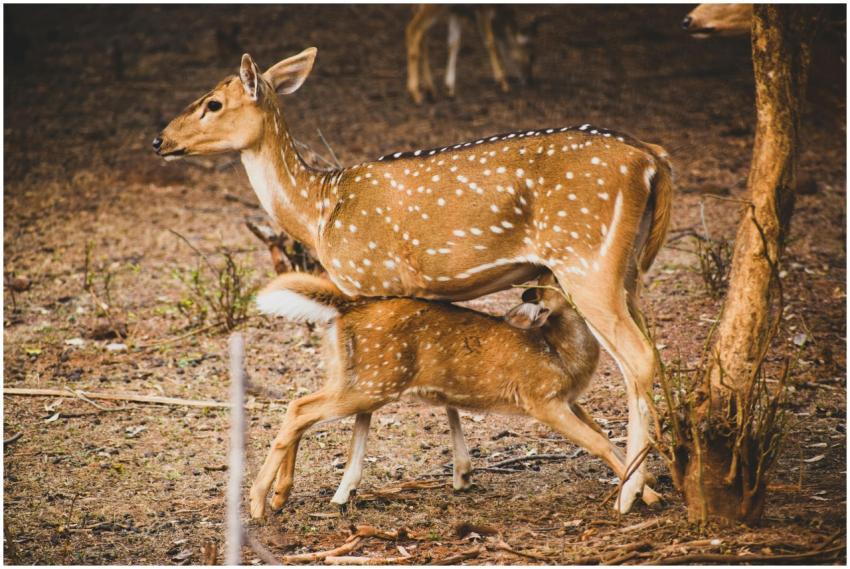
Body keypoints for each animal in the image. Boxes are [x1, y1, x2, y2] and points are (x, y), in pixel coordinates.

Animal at [250, 270, 661, 516]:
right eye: (553, 279)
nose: (530, 292)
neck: (561, 356)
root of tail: (345, 309)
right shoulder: (541, 399)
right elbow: (599, 443)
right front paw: (646, 497)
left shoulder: (572, 400)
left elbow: (611, 438)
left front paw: (648, 487)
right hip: (374, 382)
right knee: (298, 408)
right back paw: (257, 504)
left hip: (352, 377)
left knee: (301, 406)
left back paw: (281, 495)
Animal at [406, 4, 536, 104]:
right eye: (530, 56)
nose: (529, 79)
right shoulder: (482, 8)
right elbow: (490, 41)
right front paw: (502, 82)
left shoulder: (455, 11)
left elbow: (454, 43)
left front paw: (450, 88)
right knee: (413, 30)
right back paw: (415, 93)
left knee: (423, 36)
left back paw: (431, 91)